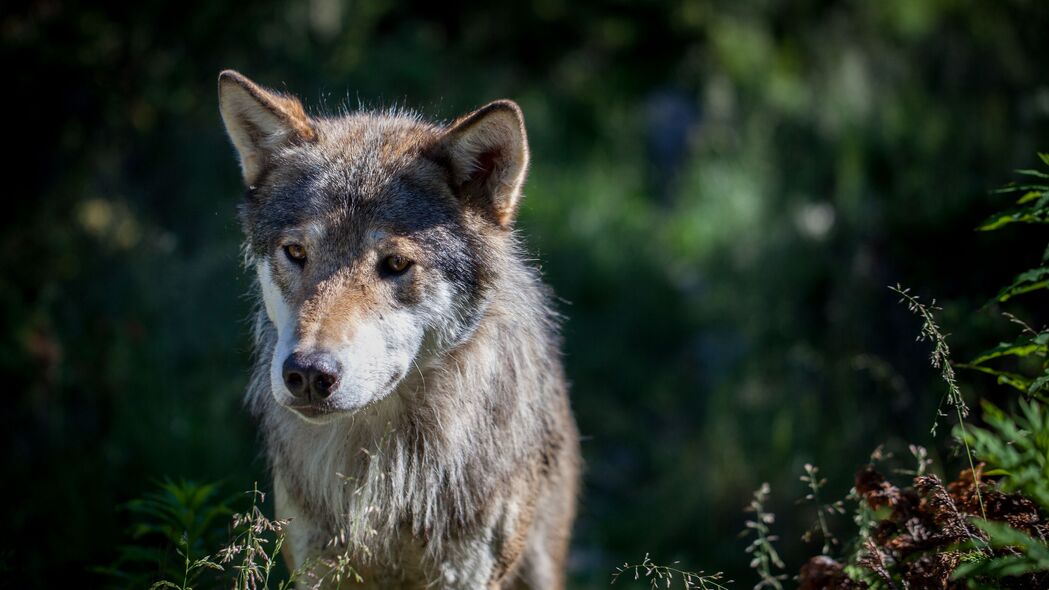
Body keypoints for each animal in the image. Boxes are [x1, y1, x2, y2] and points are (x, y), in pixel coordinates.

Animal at [216, 67, 583, 583]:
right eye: (296, 252)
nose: (307, 374)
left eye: (394, 264)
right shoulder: (316, 564)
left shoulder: (465, 572)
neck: (386, 468)